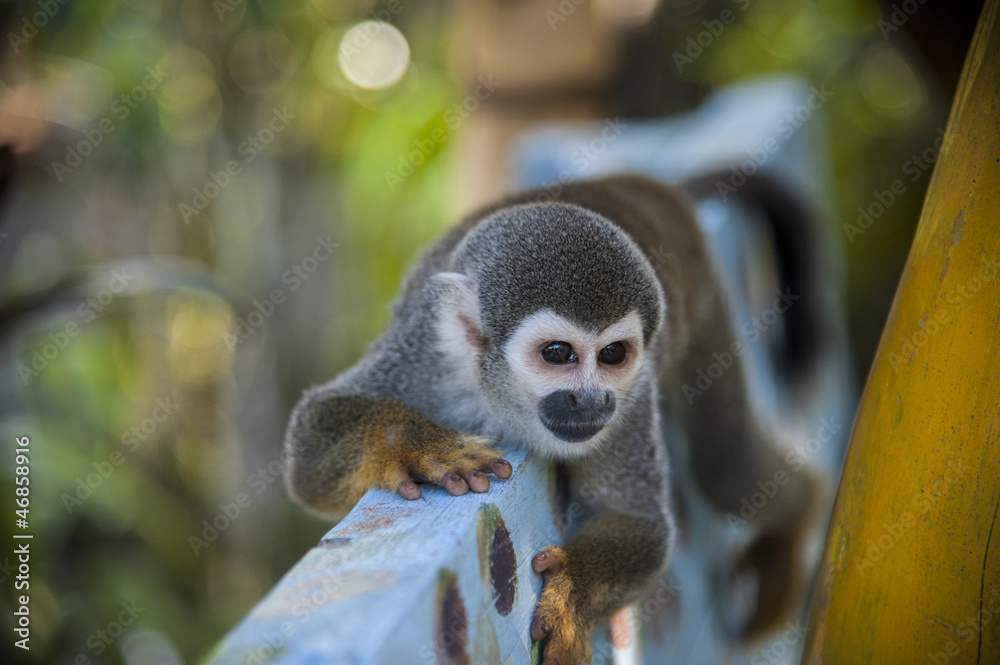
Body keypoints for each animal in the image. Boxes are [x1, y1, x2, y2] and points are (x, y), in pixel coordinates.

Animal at [283, 174, 825, 664]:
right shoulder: (429, 356)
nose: (591, 401)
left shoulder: (632, 399)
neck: (503, 401)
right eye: (558, 353)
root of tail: (639, 185)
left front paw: (572, 600)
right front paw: (420, 447)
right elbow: (309, 452)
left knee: (726, 467)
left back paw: (800, 516)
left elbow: (638, 520)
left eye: (613, 354)